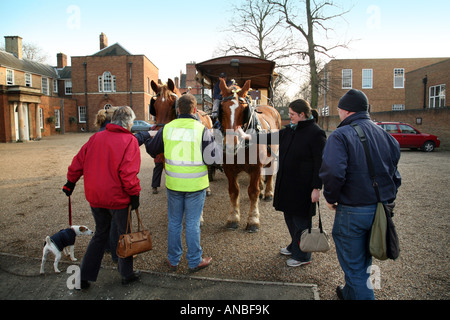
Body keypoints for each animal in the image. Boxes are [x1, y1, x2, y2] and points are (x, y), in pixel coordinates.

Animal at [219, 77, 280, 232]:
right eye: (222, 109)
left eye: (244, 109)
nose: (230, 146)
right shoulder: (229, 169)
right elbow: (234, 191)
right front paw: (233, 218)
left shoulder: (256, 167)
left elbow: (253, 191)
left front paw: (253, 220)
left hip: (272, 155)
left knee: (270, 172)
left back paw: (268, 192)